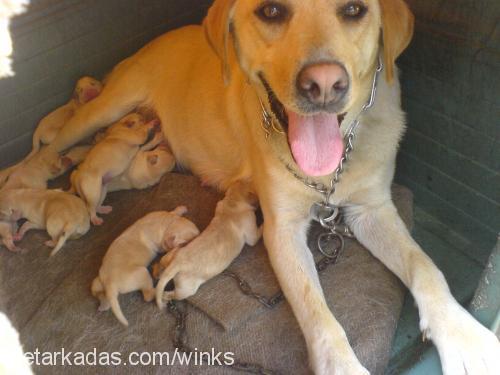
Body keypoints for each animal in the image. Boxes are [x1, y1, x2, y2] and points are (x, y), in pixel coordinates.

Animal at [45, 0, 498, 375]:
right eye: (272, 10)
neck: (327, 174)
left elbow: (424, 265)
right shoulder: (282, 230)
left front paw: (462, 334)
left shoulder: (372, 210)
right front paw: (341, 364)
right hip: (105, 109)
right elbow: (317, 312)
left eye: (354, 9)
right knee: (56, 146)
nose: (324, 85)